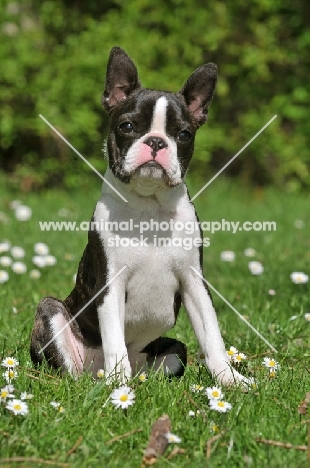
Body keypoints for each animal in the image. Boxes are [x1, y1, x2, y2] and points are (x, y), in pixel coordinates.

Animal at [30, 46, 248, 388]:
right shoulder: (110, 285)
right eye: (127, 127)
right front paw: (118, 386)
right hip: (52, 312)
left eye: (183, 134)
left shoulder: (194, 283)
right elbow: (114, 339)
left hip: (175, 350)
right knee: (75, 368)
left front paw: (231, 381)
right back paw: (107, 383)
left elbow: (212, 336)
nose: (156, 141)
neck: (149, 206)